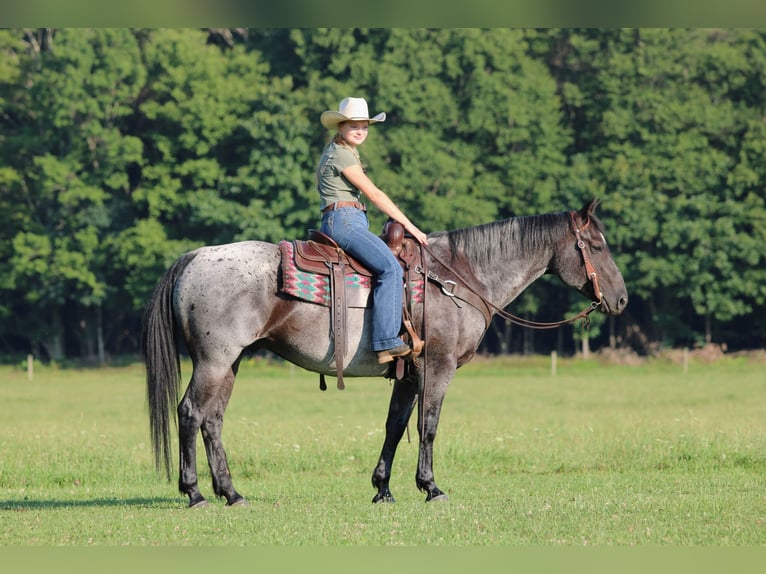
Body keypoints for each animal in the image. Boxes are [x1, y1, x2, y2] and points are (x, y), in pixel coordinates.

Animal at [142, 198, 628, 507]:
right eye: (597, 246)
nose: (621, 300)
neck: (458, 277)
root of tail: (196, 256)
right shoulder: (437, 368)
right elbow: (428, 426)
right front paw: (431, 487)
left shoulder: (409, 374)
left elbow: (395, 426)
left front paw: (383, 489)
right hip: (214, 361)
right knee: (190, 413)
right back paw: (195, 493)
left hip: (230, 363)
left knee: (213, 421)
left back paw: (231, 493)